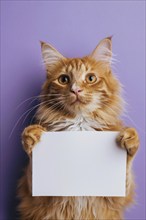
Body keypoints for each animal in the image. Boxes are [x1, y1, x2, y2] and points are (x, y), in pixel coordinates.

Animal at [17, 37, 139, 219]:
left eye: (90, 78)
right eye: (64, 80)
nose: (76, 90)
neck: (80, 126)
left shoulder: (117, 197)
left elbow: (127, 172)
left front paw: (130, 137)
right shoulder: (34, 195)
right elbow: (33, 170)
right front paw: (32, 135)